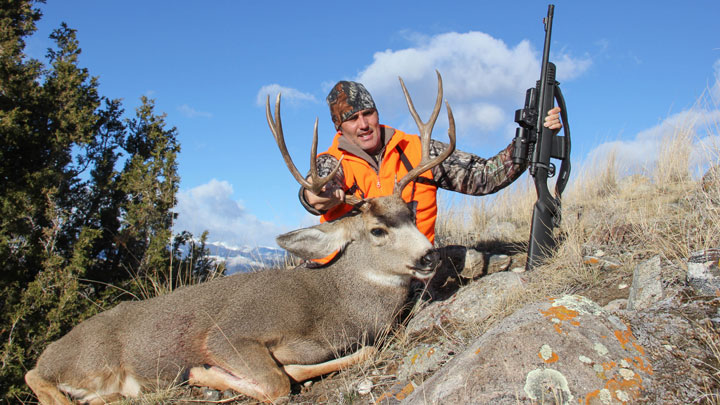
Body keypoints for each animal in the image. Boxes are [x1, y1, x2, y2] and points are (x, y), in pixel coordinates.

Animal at [26, 71, 456, 402]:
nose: (429, 256)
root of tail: (53, 349)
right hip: (88, 359)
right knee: (35, 375)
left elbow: (354, 354)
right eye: (377, 230)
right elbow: (277, 383)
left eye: (411, 214)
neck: (332, 306)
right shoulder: (228, 334)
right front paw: (202, 373)